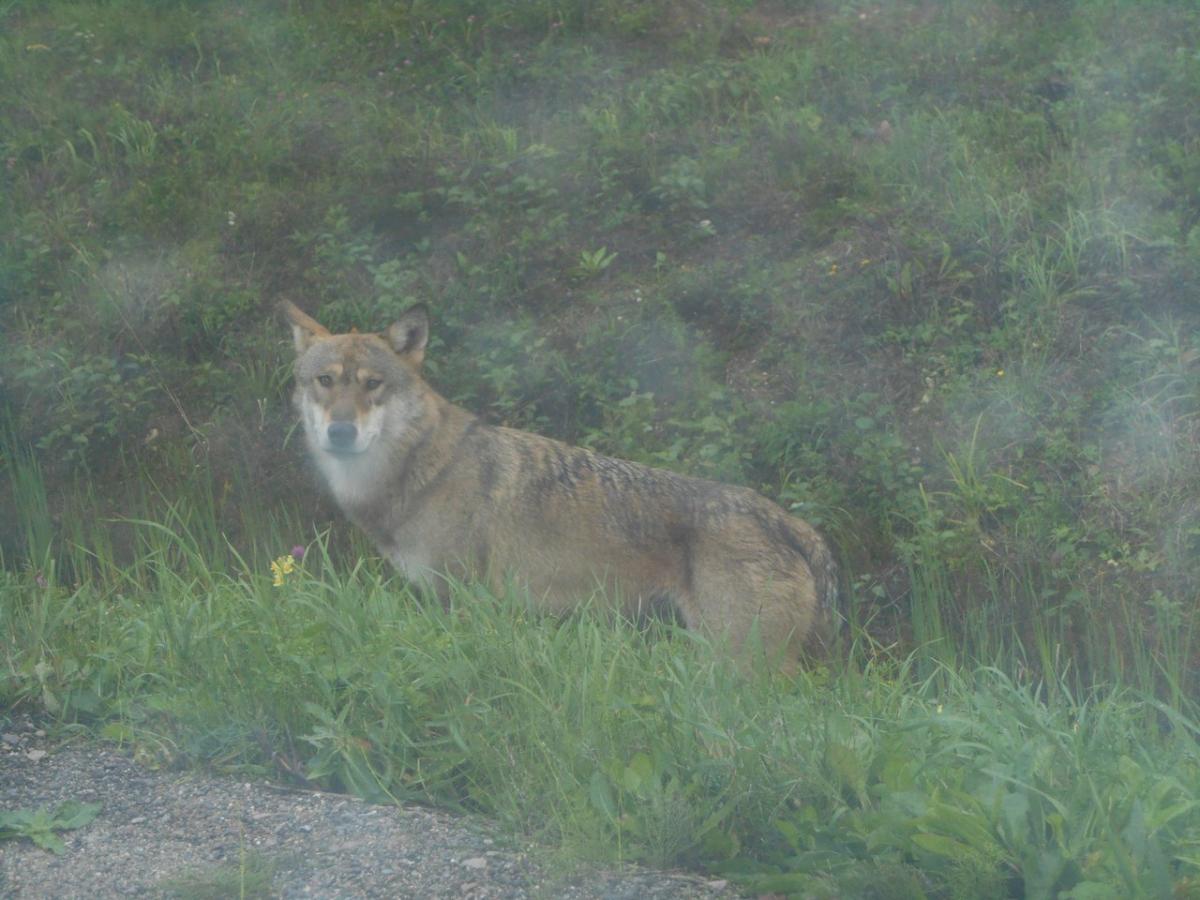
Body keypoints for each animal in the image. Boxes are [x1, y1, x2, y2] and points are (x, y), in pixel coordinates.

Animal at [283, 301, 838, 669]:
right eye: (325, 381)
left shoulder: (461, 602)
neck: (421, 470)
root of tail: (790, 523)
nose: (340, 432)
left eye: (373, 384)